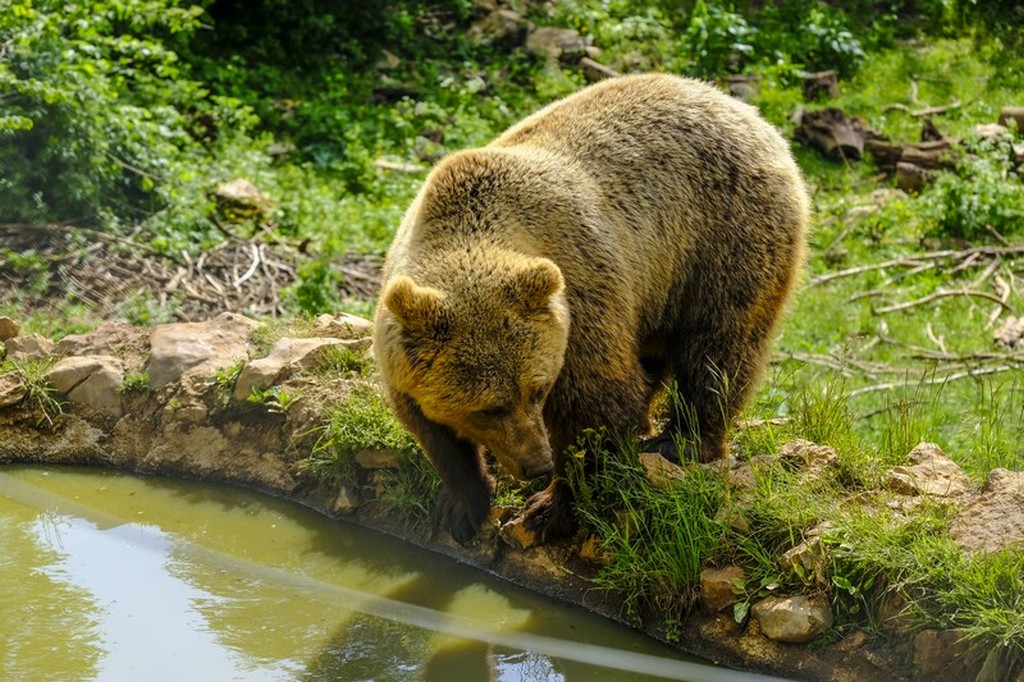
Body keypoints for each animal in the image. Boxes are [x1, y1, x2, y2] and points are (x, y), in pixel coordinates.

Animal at [372, 73, 811, 540]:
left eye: (537, 389)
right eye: (489, 407)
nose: (536, 464)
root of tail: (750, 115)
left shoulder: (579, 295)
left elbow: (595, 406)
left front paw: (549, 508)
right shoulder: (402, 355)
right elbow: (433, 431)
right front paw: (461, 504)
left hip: (722, 234)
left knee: (718, 343)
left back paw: (681, 441)